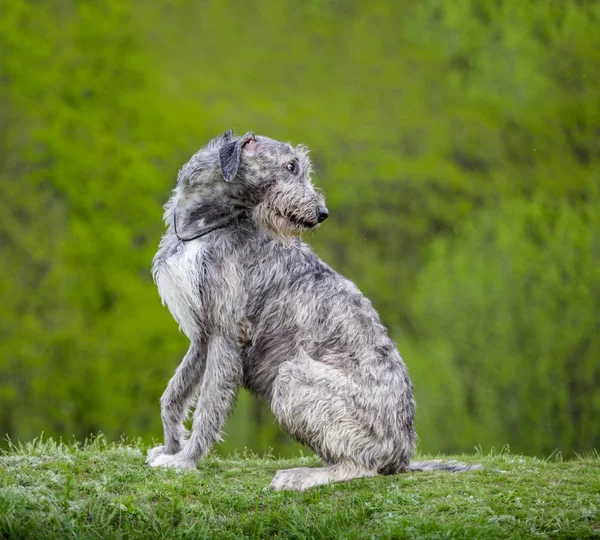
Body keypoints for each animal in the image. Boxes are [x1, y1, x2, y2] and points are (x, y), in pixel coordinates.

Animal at [146, 130, 478, 490]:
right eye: (291, 166)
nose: (322, 212)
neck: (203, 228)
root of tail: (403, 454)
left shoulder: (226, 335)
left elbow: (208, 405)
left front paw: (185, 461)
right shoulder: (203, 336)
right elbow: (173, 396)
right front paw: (171, 448)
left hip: (294, 377)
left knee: (361, 466)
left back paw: (301, 475)